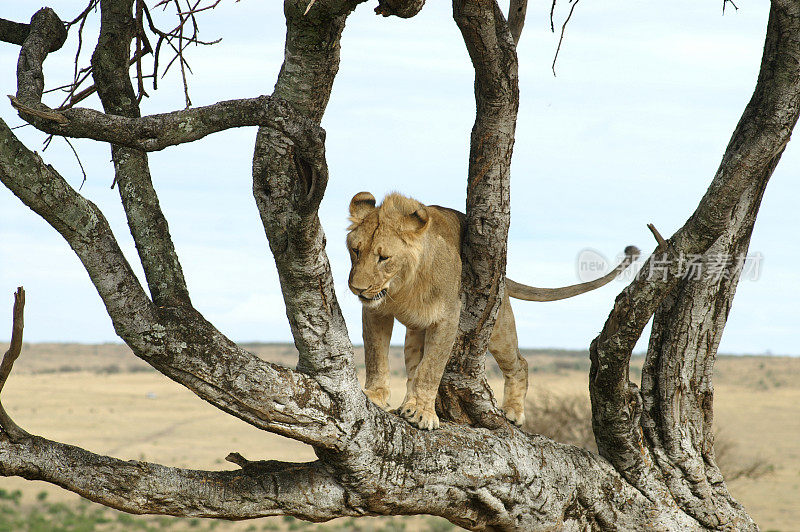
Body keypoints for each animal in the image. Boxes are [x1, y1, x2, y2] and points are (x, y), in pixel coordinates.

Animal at [346, 193, 640, 430]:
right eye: (355, 251)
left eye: (384, 258)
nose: (356, 288)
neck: (402, 287)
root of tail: (503, 276)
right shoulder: (376, 312)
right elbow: (376, 355)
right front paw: (375, 396)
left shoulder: (448, 317)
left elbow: (431, 369)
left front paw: (422, 413)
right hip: (418, 332)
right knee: (412, 367)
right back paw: (405, 403)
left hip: (497, 324)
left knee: (520, 363)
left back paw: (513, 412)